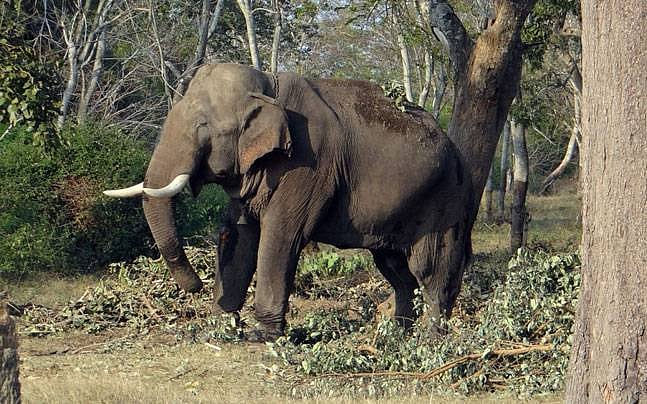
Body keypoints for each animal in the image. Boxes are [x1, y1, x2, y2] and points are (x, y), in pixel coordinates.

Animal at [104, 63, 473, 340]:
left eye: (204, 128)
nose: (195, 286)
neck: (270, 85)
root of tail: (459, 154)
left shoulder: (309, 163)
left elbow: (281, 235)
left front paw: (261, 335)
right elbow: (239, 234)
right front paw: (218, 328)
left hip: (445, 202)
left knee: (431, 269)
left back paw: (429, 340)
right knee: (396, 270)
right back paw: (396, 336)